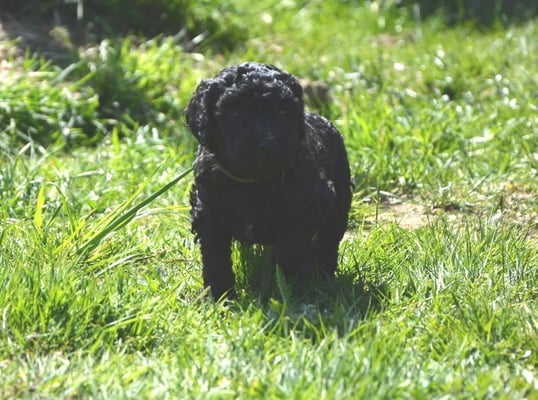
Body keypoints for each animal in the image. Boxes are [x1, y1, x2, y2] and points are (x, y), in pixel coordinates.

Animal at [185, 62, 352, 299]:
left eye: (283, 111)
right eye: (235, 111)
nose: (268, 146)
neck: (254, 181)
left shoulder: (314, 203)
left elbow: (290, 247)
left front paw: (286, 277)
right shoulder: (208, 211)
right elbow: (214, 256)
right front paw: (219, 296)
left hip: (341, 194)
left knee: (329, 237)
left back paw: (322, 275)